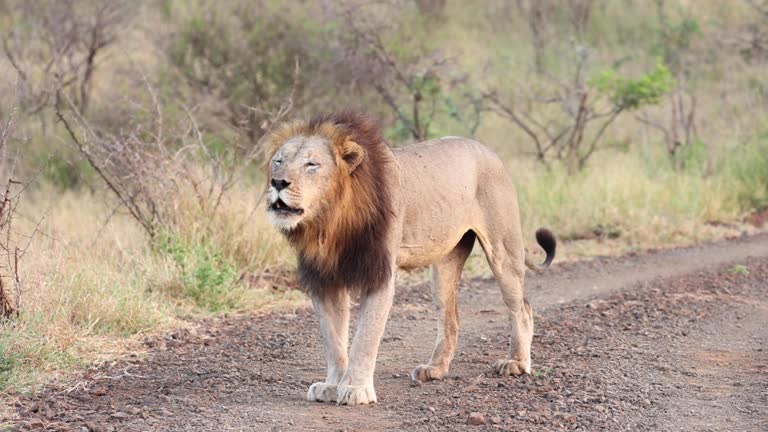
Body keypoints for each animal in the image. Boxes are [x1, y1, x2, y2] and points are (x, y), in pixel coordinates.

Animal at [268, 112, 556, 404]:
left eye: (311, 164)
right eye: (278, 161)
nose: (278, 182)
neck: (329, 223)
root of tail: (491, 152)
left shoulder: (380, 274)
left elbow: (365, 337)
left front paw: (356, 389)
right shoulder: (325, 279)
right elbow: (333, 339)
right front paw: (331, 385)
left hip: (502, 251)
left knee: (522, 307)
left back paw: (516, 363)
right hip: (445, 266)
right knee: (451, 317)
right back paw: (435, 369)